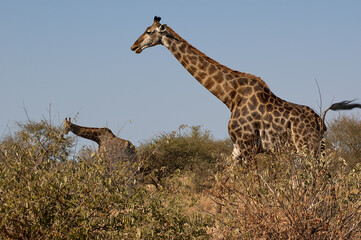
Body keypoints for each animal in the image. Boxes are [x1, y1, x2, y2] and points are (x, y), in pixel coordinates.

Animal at [131, 16, 360, 159]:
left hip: (306, 147)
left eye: (149, 31)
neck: (229, 96)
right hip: (318, 148)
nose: (134, 46)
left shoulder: (247, 145)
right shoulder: (236, 148)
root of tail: (321, 121)